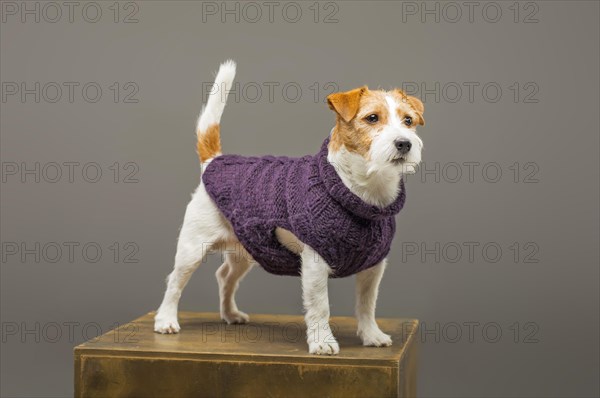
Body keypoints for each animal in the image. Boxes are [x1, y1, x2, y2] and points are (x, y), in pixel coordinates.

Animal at [157, 60, 424, 356]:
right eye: (372, 118)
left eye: (409, 121)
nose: (404, 143)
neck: (358, 191)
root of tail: (214, 161)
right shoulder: (316, 262)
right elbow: (320, 306)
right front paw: (322, 341)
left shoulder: (373, 267)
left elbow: (367, 304)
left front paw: (371, 334)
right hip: (193, 248)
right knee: (175, 281)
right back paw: (166, 319)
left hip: (247, 248)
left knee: (225, 276)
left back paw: (230, 313)